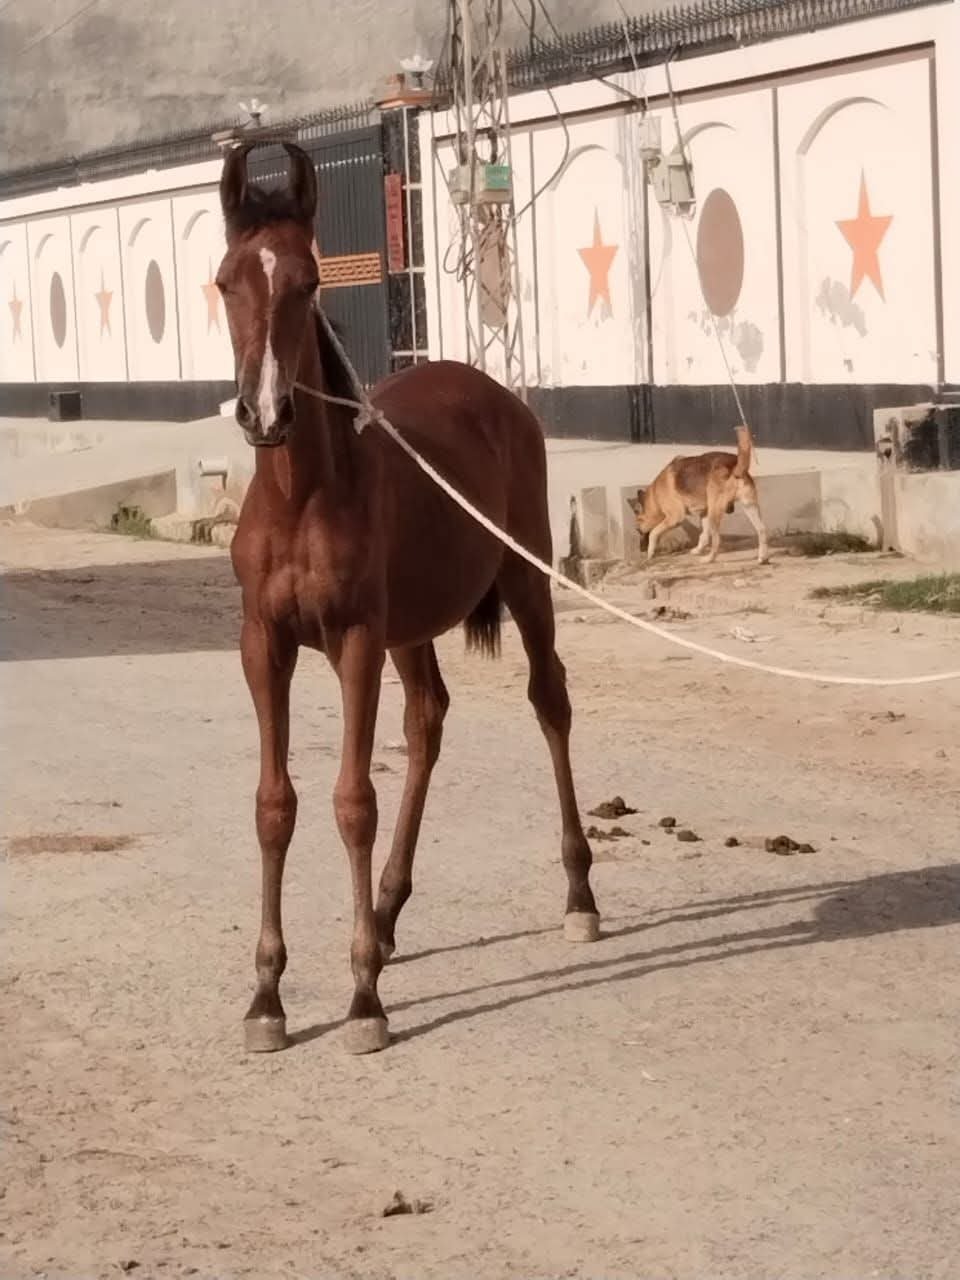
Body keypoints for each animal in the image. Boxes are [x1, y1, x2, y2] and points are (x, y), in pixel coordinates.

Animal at [215, 141, 600, 1055]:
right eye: (225, 281)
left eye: (308, 281)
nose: (265, 410)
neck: (301, 497)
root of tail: (489, 390)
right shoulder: (263, 643)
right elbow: (274, 804)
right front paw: (267, 997)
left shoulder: (354, 638)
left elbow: (353, 800)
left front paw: (363, 1003)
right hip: (412, 629)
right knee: (427, 722)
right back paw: (386, 919)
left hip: (525, 581)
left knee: (550, 702)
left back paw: (579, 896)